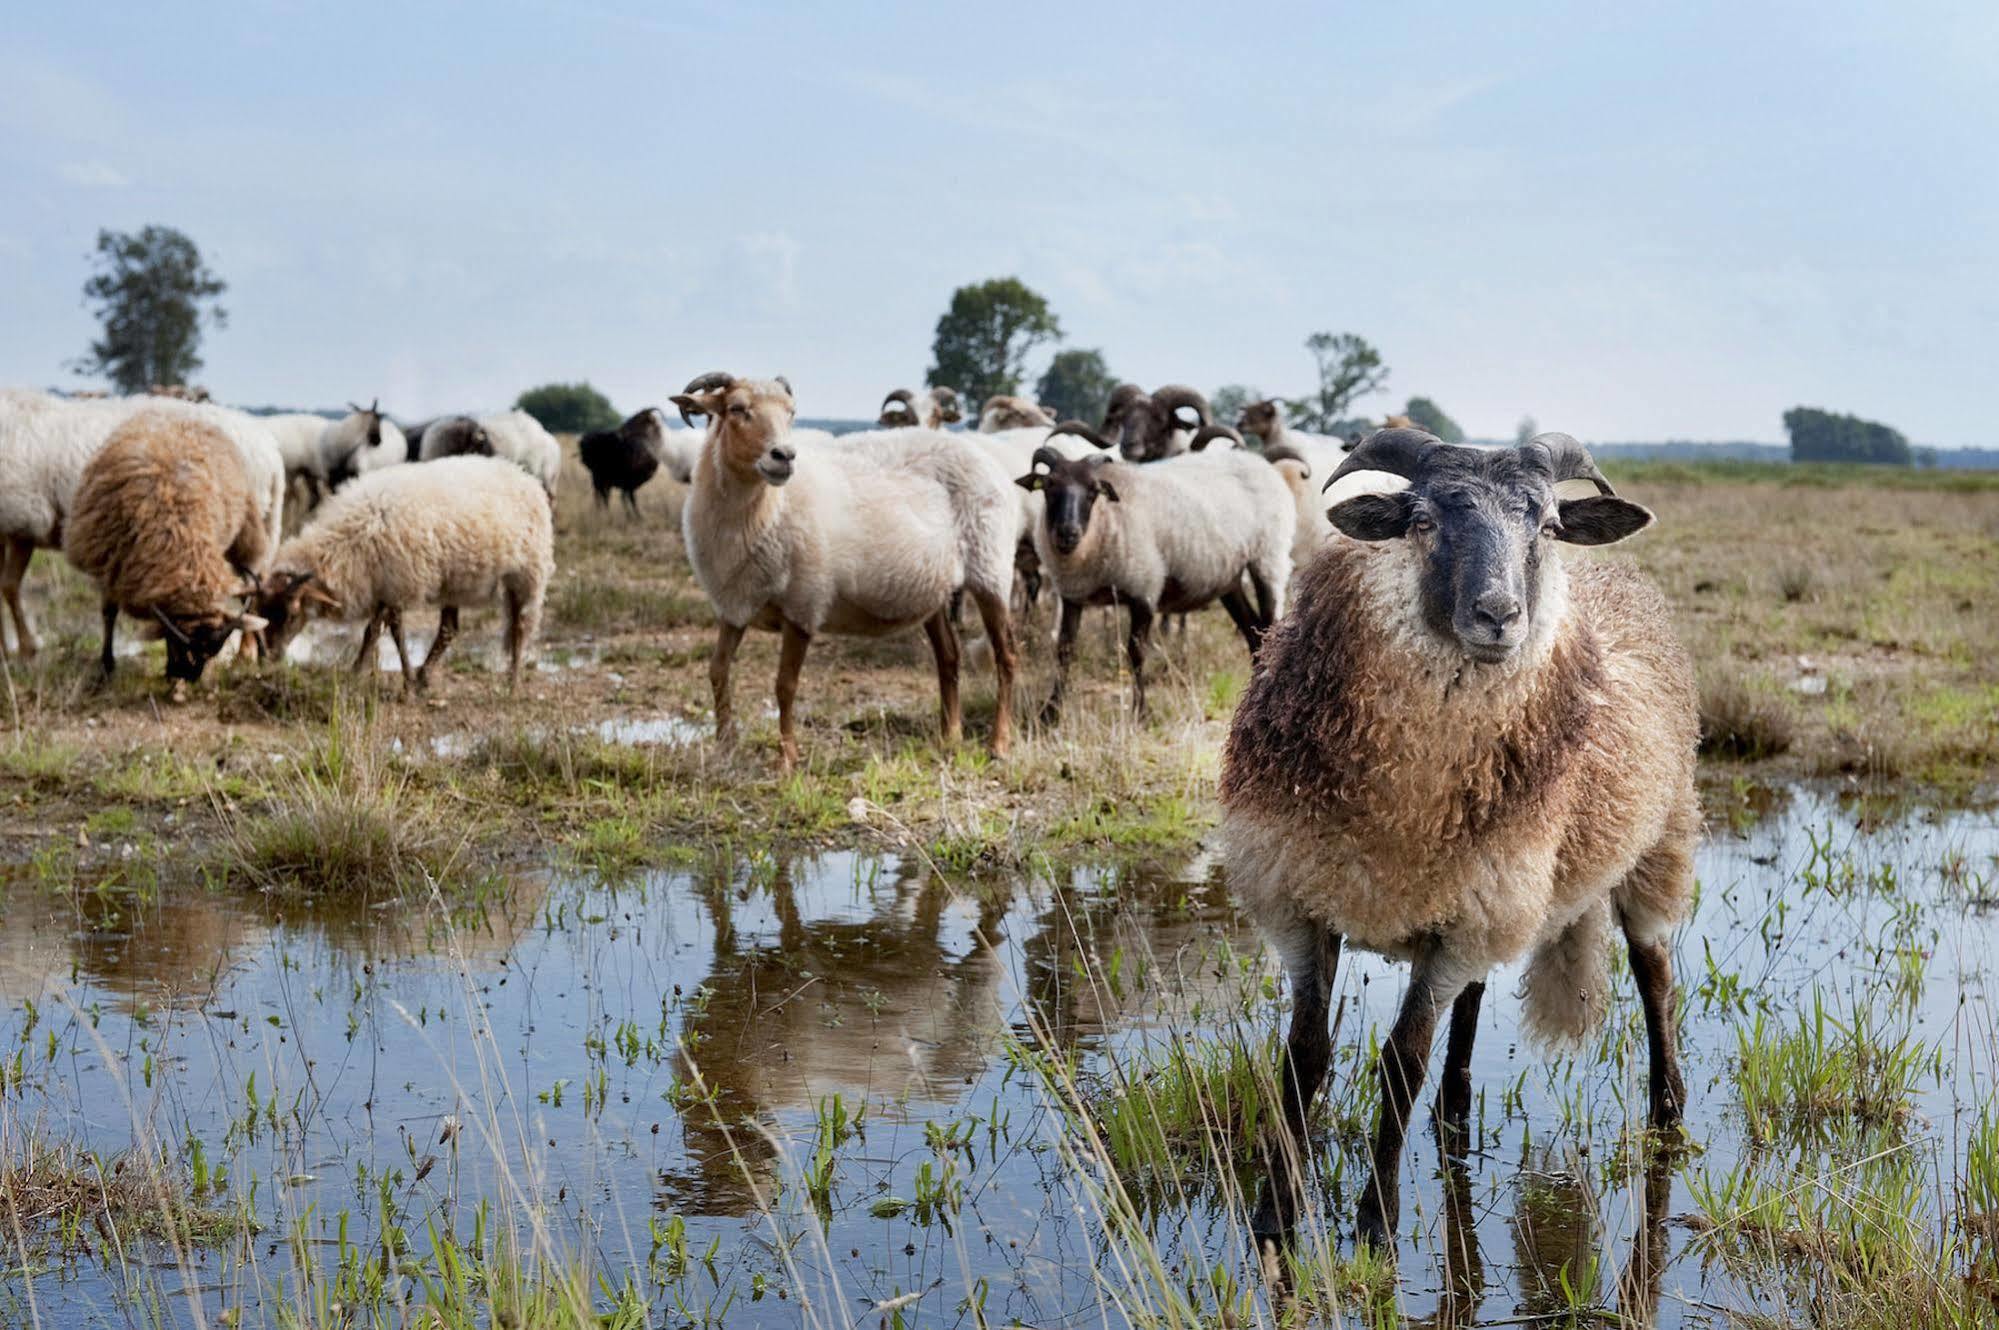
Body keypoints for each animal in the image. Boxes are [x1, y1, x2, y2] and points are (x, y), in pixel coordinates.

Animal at [0, 386, 285, 656]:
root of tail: (271, 452)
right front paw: (9, 652)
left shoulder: (24, 521)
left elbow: (9, 587)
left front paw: (26, 650)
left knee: (252, 585)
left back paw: (245, 653)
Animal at [255, 454, 563, 688]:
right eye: (261, 612)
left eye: (291, 615)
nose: (269, 657)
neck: (347, 542)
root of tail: (525, 476)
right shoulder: (384, 585)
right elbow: (372, 632)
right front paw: (359, 672)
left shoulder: (399, 584)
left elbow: (394, 632)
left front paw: (407, 682)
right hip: (455, 582)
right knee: (450, 629)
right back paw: (427, 675)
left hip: (527, 575)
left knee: (520, 626)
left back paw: (513, 682)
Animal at [675, 368, 1023, 772]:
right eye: (736, 408)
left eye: (791, 413)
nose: (785, 457)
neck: (764, 509)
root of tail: (985, 457)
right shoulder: (734, 605)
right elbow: (717, 670)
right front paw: (724, 747)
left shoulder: (804, 603)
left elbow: (784, 685)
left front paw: (788, 757)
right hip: (934, 588)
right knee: (949, 656)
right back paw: (949, 737)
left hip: (990, 568)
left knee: (1006, 656)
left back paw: (999, 744)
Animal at [1015, 444, 1295, 716]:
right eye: (1049, 485)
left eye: (1093, 491)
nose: (1068, 533)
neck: (1104, 520)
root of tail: (1258, 460)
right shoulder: (1073, 597)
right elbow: (1064, 651)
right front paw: (1050, 711)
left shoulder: (1144, 589)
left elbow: (1136, 653)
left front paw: (1141, 713)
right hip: (1230, 579)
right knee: (1253, 633)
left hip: (1268, 559)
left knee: (1269, 624)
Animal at [1215, 426, 1703, 1248]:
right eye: (1422, 520)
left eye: (1547, 526)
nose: (1498, 615)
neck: (1402, 811)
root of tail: (1621, 576)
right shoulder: (1303, 900)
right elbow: (1304, 1057)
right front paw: (1276, 1211)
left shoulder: (1454, 924)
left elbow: (1400, 1061)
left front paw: (1376, 1220)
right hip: (1491, 890)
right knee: (1472, 997)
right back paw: (1453, 1114)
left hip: (1651, 849)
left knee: (1654, 975)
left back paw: (1667, 1112)